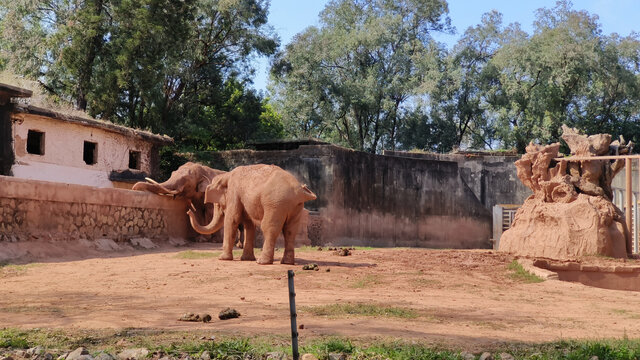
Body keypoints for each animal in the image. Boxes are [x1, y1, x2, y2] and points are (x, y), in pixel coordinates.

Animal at [185, 164, 316, 264]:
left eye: (218, 204)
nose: (188, 211)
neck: (226, 175)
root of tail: (299, 190)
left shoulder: (234, 193)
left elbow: (232, 219)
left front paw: (222, 258)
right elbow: (249, 224)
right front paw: (246, 259)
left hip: (276, 204)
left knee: (269, 227)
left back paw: (262, 262)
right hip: (296, 206)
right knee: (290, 230)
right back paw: (286, 262)